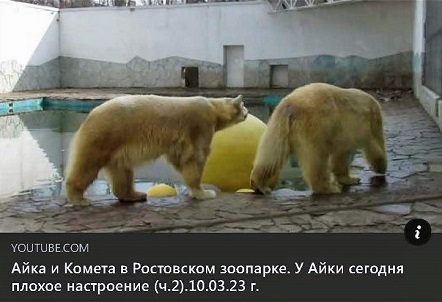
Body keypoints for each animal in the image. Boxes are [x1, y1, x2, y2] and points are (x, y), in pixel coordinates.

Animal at [64, 94, 249, 206]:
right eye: (244, 106)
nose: (248, 112)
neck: (213, 107)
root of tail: (91, 114)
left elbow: (180, 158)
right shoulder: (200, 125)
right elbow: (195, 157)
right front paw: (204, 192)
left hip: (116, 145)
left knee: (122, 171)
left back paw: (135, 194)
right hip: (105, 135)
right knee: (88, 164)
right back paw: (78, 198)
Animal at [252, 82, 386, 195]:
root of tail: (291, 106)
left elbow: (340, 154)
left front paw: (349, 179)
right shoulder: (366, 122)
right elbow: (373, 144)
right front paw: (380, 167)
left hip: (278, 124)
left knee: (272, 154)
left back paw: (260, 185)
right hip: (314, 125)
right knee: (316, 158)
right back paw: (328, 188)